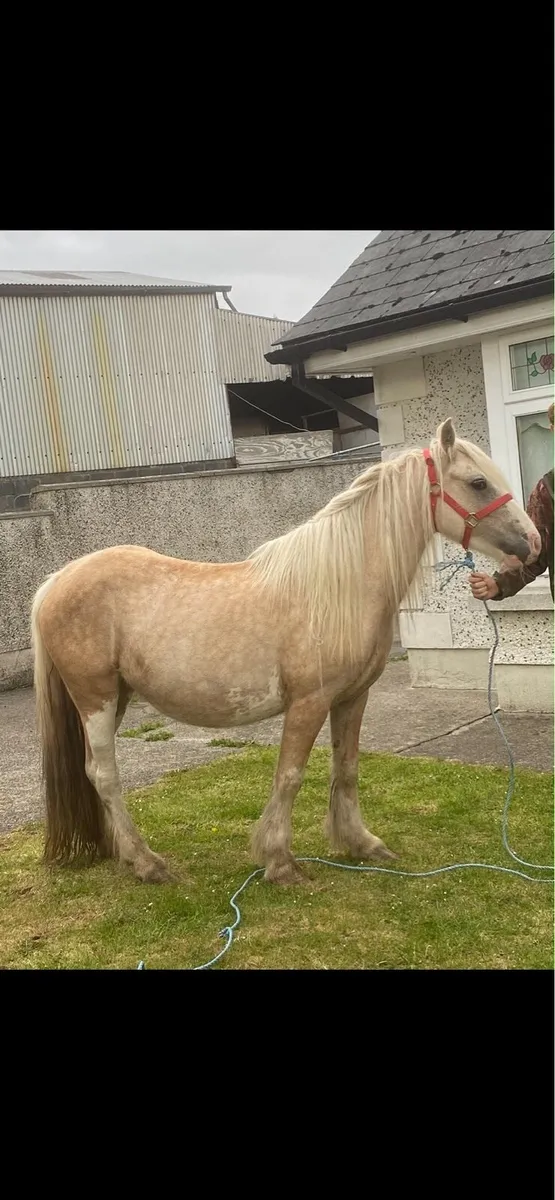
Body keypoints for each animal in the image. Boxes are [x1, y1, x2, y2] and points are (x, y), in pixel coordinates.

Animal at [31, 419, 541, 886]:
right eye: (478, 483)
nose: (534, 542)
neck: (340, 585)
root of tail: (57, 581)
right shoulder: (308, 703)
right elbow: (290, 775)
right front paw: (279, 862)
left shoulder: (352, 698)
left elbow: (346, 766)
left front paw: (361, 843)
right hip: (95, 697)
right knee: (105, 773)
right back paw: (147, 863)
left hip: (116, 697)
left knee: (93, 772)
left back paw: (117, 852)